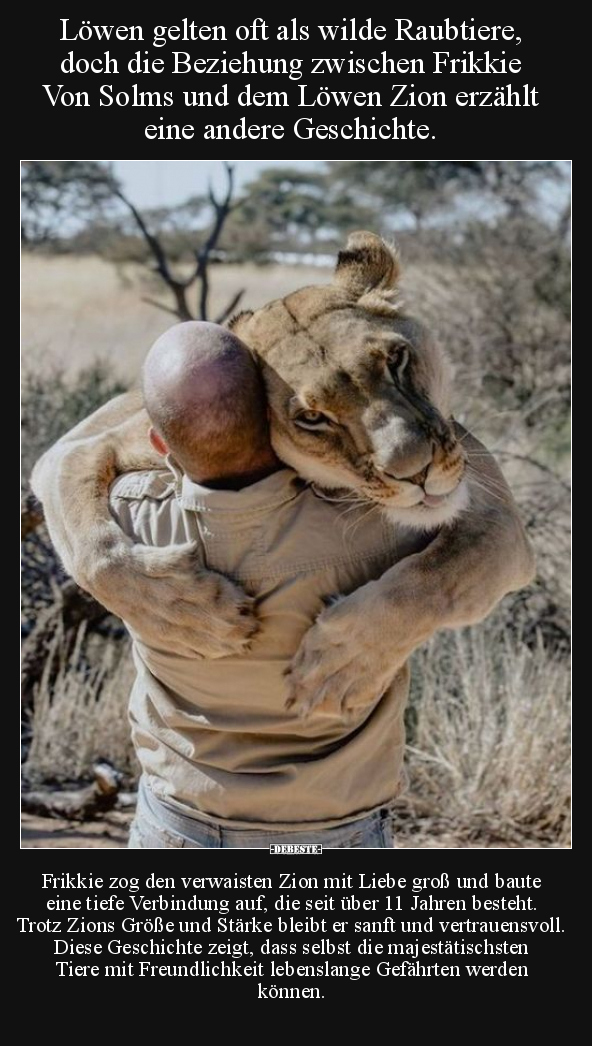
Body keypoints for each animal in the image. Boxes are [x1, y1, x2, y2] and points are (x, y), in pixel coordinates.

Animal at [30, 233, 535, 715]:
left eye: (396, 361)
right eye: (313, 418)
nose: (416, 471)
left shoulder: (494, 512)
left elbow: (441, 574)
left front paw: (344, 661)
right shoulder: (79, 447)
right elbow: (95, 550)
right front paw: (191, 614)